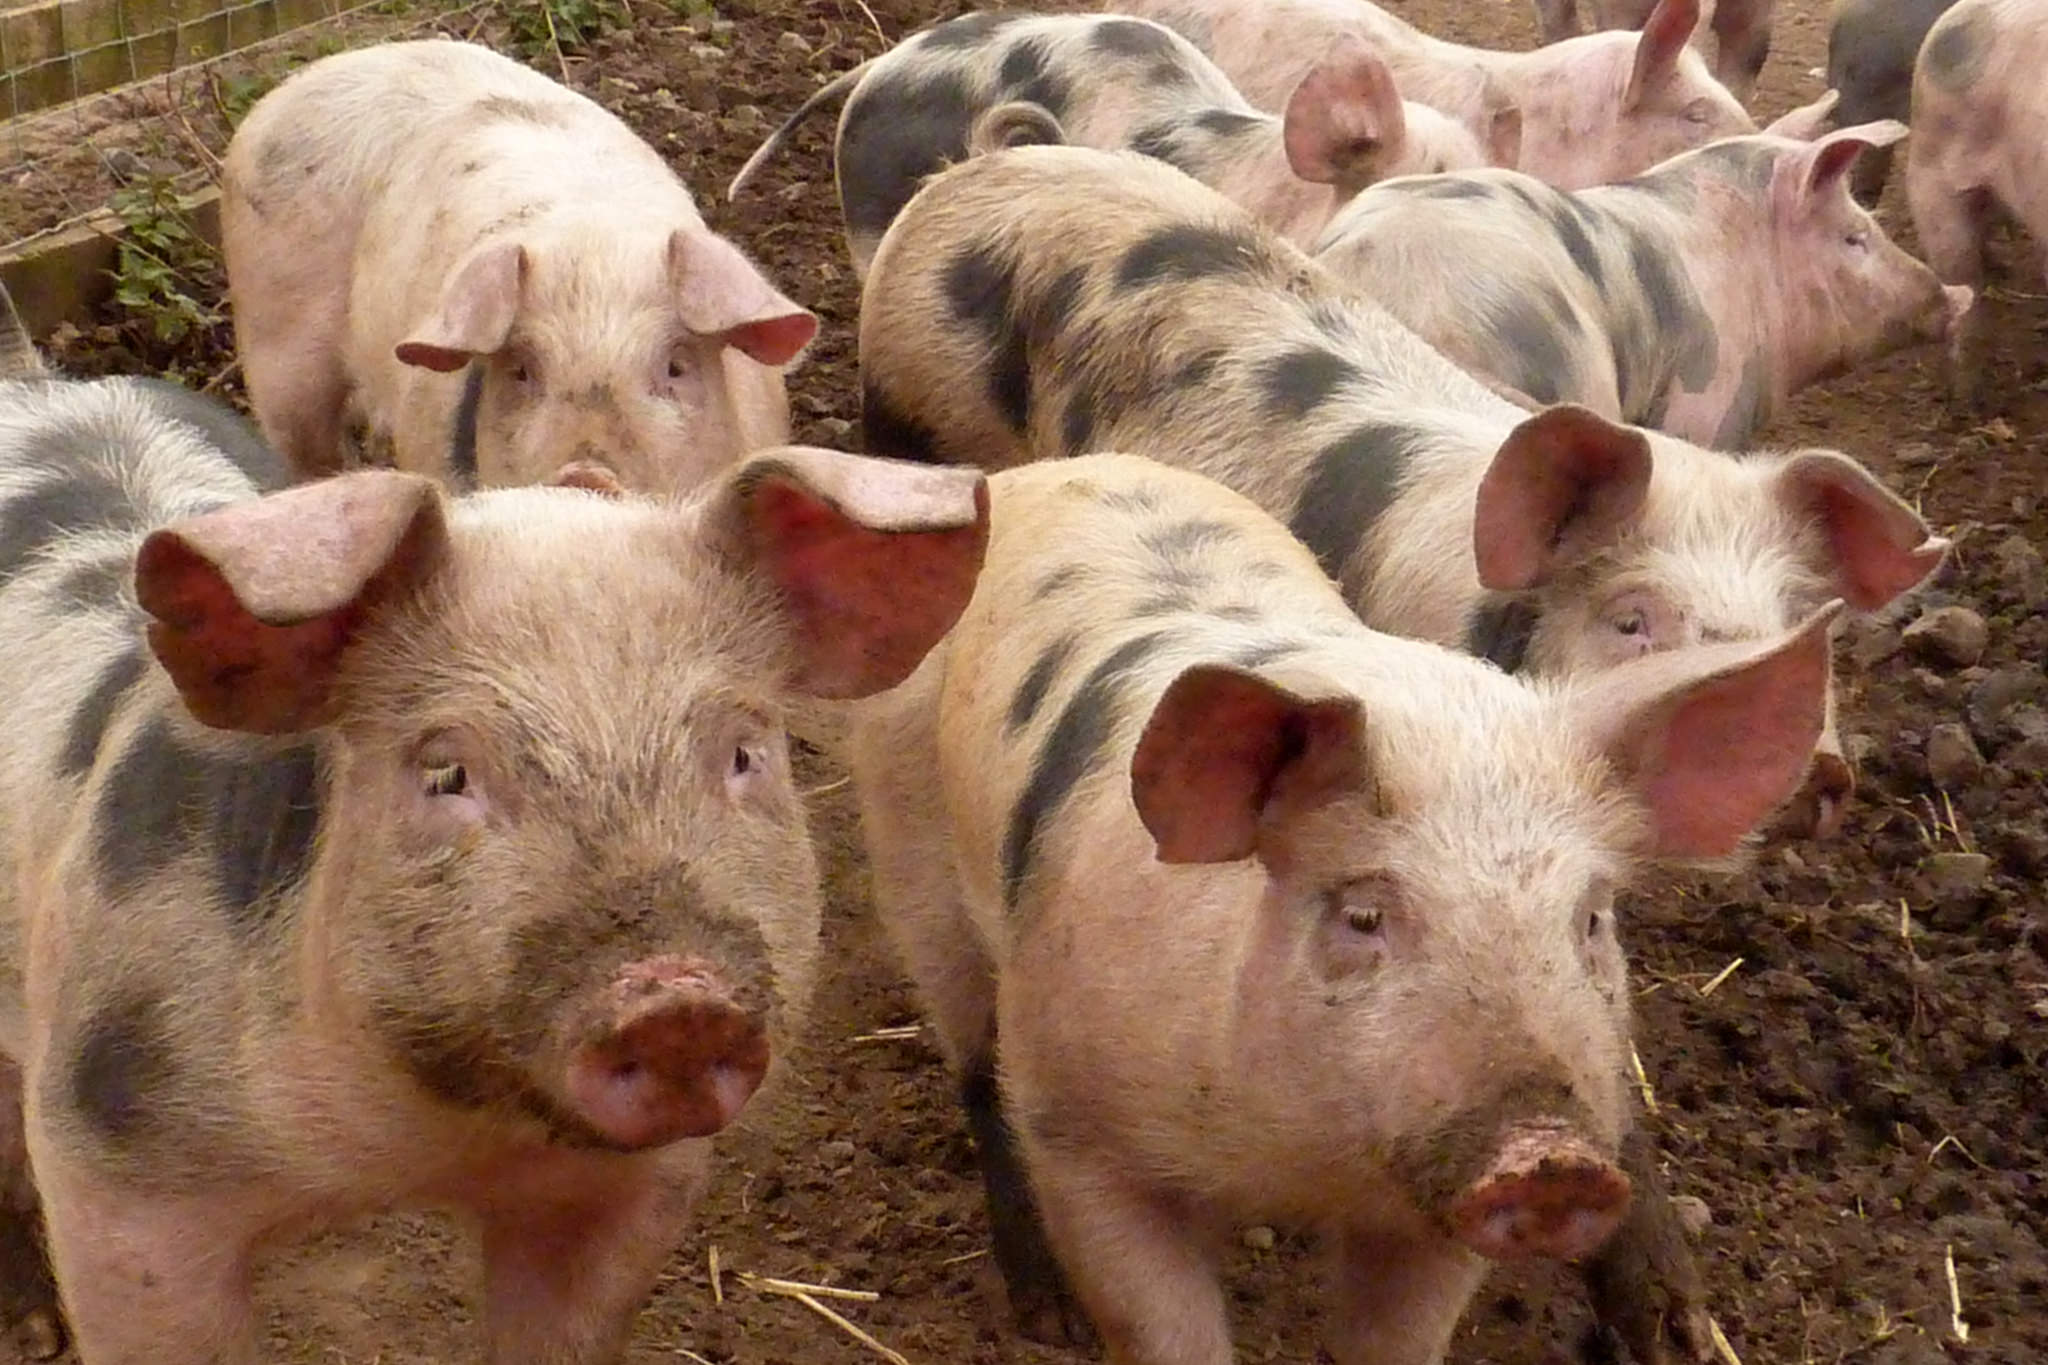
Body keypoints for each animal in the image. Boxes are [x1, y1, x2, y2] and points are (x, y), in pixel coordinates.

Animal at [0, 296, 988, 1363]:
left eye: (743, 752)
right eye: (447, 771)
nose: (677, 999)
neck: (429, 1141)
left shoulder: (630, 1188)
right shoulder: (113, 1166)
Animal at [847, 450, 1838, 1365]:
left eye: (1588, 917)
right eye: (1363, 915)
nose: (1553, 1158)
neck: (1293, 1163)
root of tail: (1046, 471)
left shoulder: (1434, 1215)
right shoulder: (1079, 1137)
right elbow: (1160, 1325)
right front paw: (1083, 1327)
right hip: (910, 845)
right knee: (975, 1064)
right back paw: (1045, 1317)